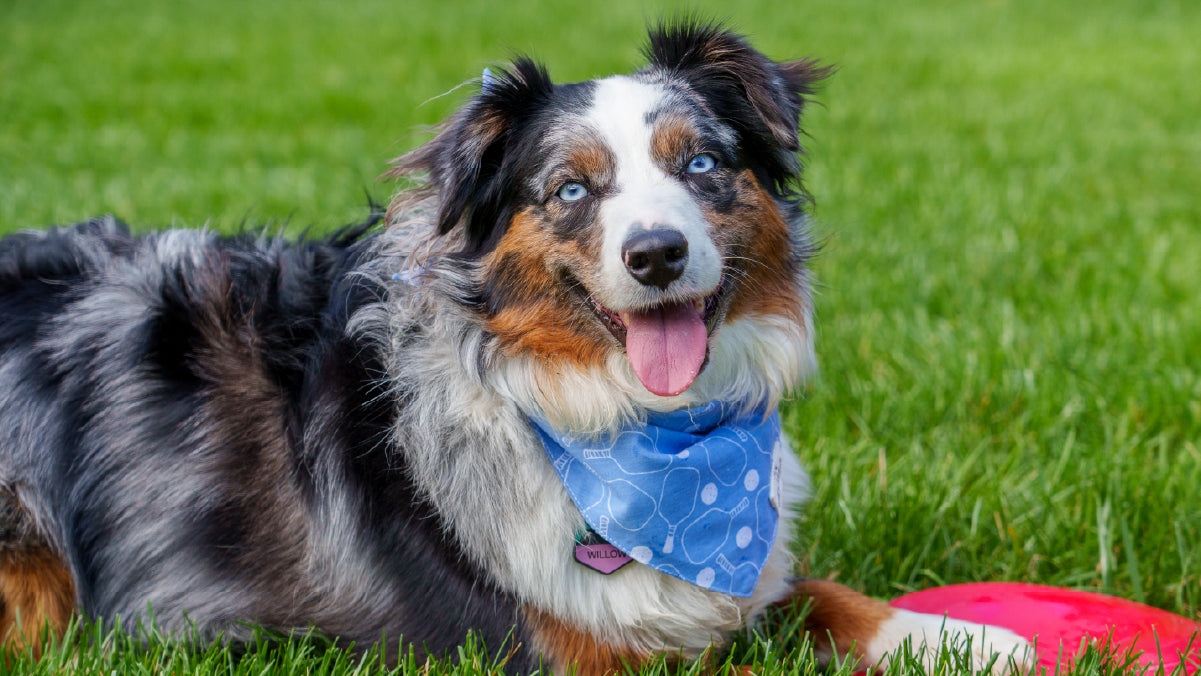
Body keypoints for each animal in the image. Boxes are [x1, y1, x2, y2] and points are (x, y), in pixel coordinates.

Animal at [2, 19, 1032, 672]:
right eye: (570, 189)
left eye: (702, 162)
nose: (656, 255)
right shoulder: (538, 650)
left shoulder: (737, 581)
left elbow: (819, 591)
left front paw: (971, 639)